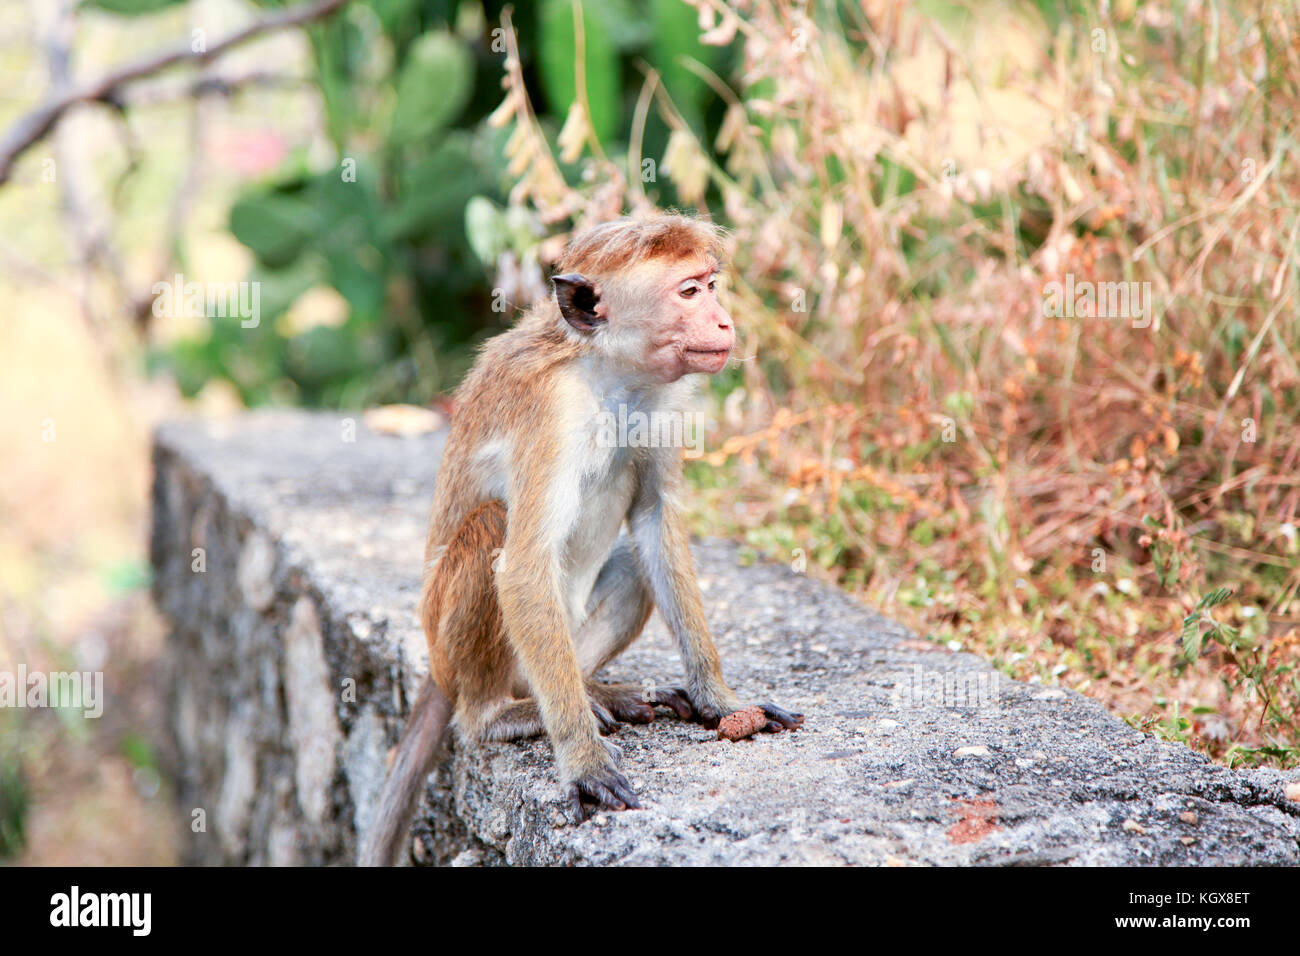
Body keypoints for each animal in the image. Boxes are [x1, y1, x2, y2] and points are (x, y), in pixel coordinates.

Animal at [360, 214, 803, 867]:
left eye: (711, 285)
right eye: (688, 293)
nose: (724, 322)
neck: (604, 370)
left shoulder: (661, 403)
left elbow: (656, 525)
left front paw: (719, 700)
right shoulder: (551, 415)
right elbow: (522, 566)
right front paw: (583, 759)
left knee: (630, 571)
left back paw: (592, 689)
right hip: (448, 637)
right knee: (492, 528)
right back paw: (500, 715)